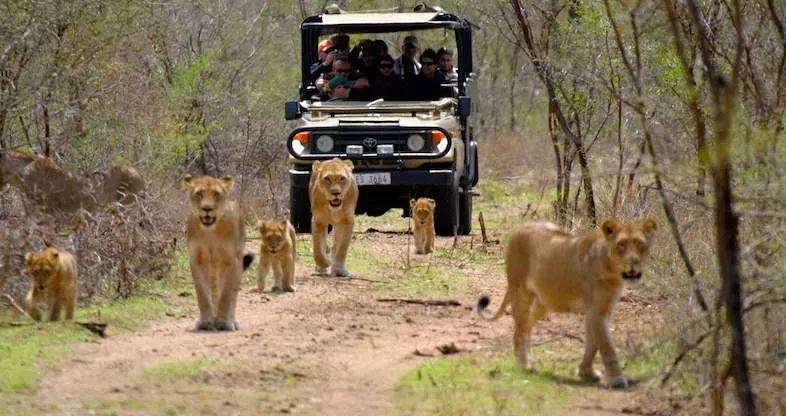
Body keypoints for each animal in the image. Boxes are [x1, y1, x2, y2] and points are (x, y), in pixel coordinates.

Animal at [181, 176, 251, 332]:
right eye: (199, 194)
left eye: (216, 194)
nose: (207, 208)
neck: (210, 232)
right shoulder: (196, 260)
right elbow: (202, 294)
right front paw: (206, 322)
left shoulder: (231, 260)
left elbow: (226, 294)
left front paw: (224, 322)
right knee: (214, 292)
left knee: (232, 294)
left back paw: (231, 321)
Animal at [478, 219, 656, 388]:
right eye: (621, 244)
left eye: (640, 244)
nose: (633, 262)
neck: (612, 271)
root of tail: (520, 227)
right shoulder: (596, 311)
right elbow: (606, 345)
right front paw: (616, 380)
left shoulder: (603, 310)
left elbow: (592, 344)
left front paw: (586, 372)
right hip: (520, 291)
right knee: (519, 330)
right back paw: (524, 364)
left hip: (544, 302)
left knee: (527, 327)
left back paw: (529, 359)